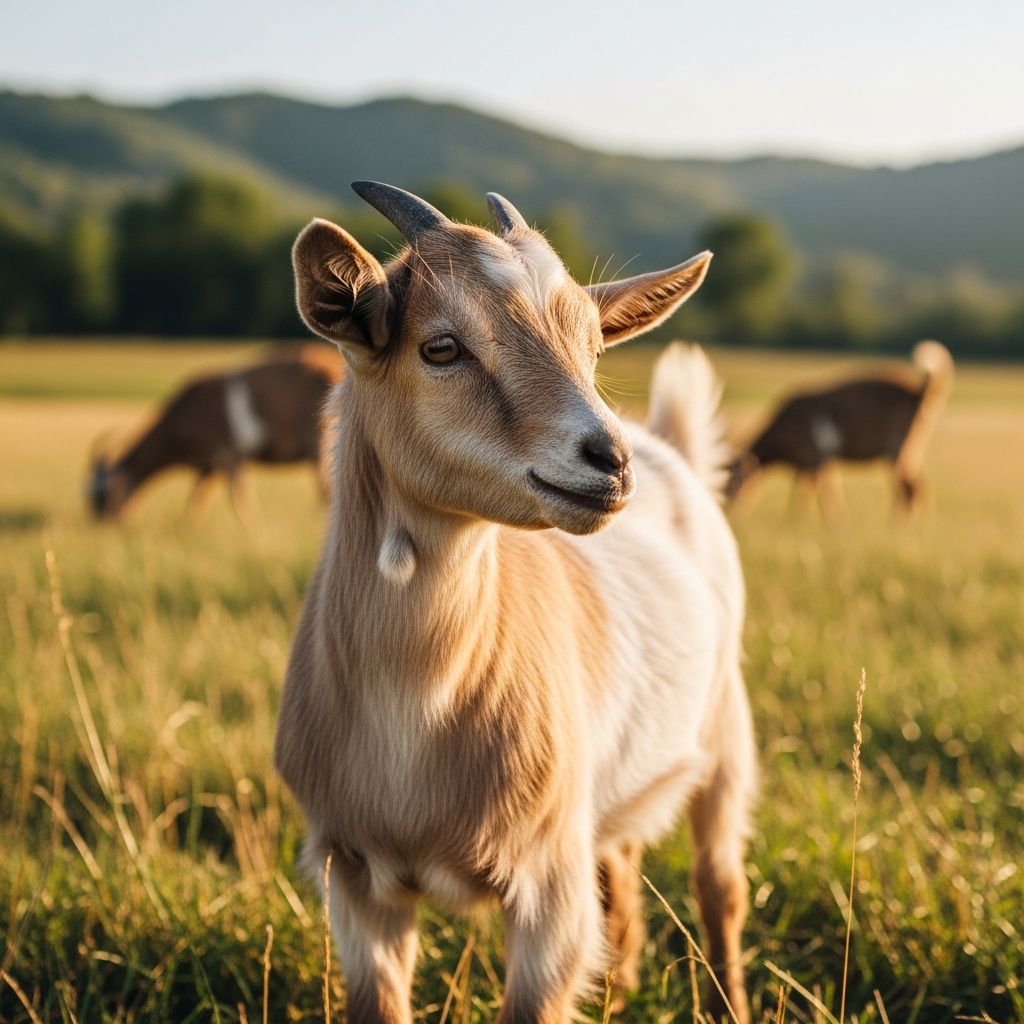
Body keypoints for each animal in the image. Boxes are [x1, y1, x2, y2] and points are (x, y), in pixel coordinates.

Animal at [87, 347, 341, 519]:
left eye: (101, 498)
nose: (100, 528)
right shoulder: (207, 467)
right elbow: (196, 501)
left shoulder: (227, 455)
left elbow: (238, 499)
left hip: (318, 443)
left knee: (325, 490)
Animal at [274, 183, 756, 1024]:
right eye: (441, 348)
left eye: (593, 348)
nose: (609, 461)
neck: (414, 716)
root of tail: (672, 449)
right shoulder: (353, 880)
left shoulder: (548, 891)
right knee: (621, 869)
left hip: (727, 733)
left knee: (721, 885)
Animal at [726, 341, 954, 514]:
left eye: (734, 480)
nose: (729, 508)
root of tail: (919, 391)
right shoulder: (819, 462)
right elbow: (813, 492)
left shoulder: (816, 459)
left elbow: (816, 494)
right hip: (907, 450)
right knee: (915, 487)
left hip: (897, 448)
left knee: (911, 489)